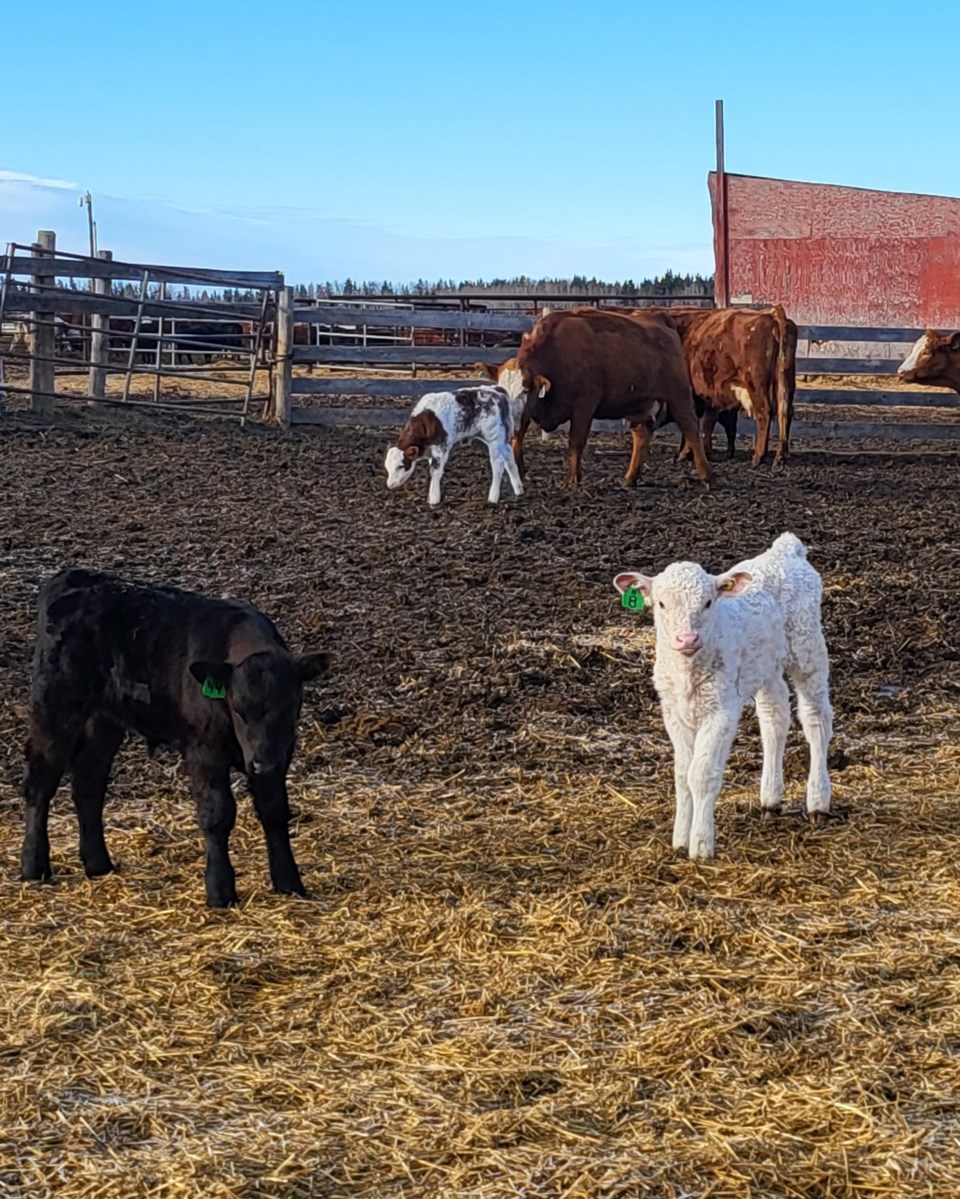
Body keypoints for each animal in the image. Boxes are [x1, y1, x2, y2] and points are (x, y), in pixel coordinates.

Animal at [383, 386, 524, 503]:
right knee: (510, 461)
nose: (390, 484)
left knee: (498, 465)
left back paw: (493, 497)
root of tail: (497, 391)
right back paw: (518, 489)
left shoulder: (441, 448)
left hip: (494, 439)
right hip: (503, 441)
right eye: (387, 467)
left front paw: (434, 499)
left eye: (401, 466)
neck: (428, 421)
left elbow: (435, 472)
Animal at [508, 309, 709, 486]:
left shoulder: (584, 405)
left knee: (691, 428)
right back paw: (630, 477)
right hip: (641, 404)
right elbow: (517, 438)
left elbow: (576, 442)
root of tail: (659, 319)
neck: (555, 353)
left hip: (678, 396)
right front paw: (518, 472)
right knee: (641, 435)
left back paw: (706, 475)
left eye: (525, 390)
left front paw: (572, 479)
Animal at [613, 534, 829, 863]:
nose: (687, 639)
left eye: (708, 602)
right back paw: (770, 799)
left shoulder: (722, 709)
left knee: (816, 717)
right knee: (775, 715)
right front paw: (679, 840)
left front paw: (701, 846)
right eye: (661, 603)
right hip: (765, 664)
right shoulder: (672, 711)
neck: (688, 676)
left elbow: (701, 774)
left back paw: (818, 800)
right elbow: (681, 774)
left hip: (808, 648)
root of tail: (786, 550)